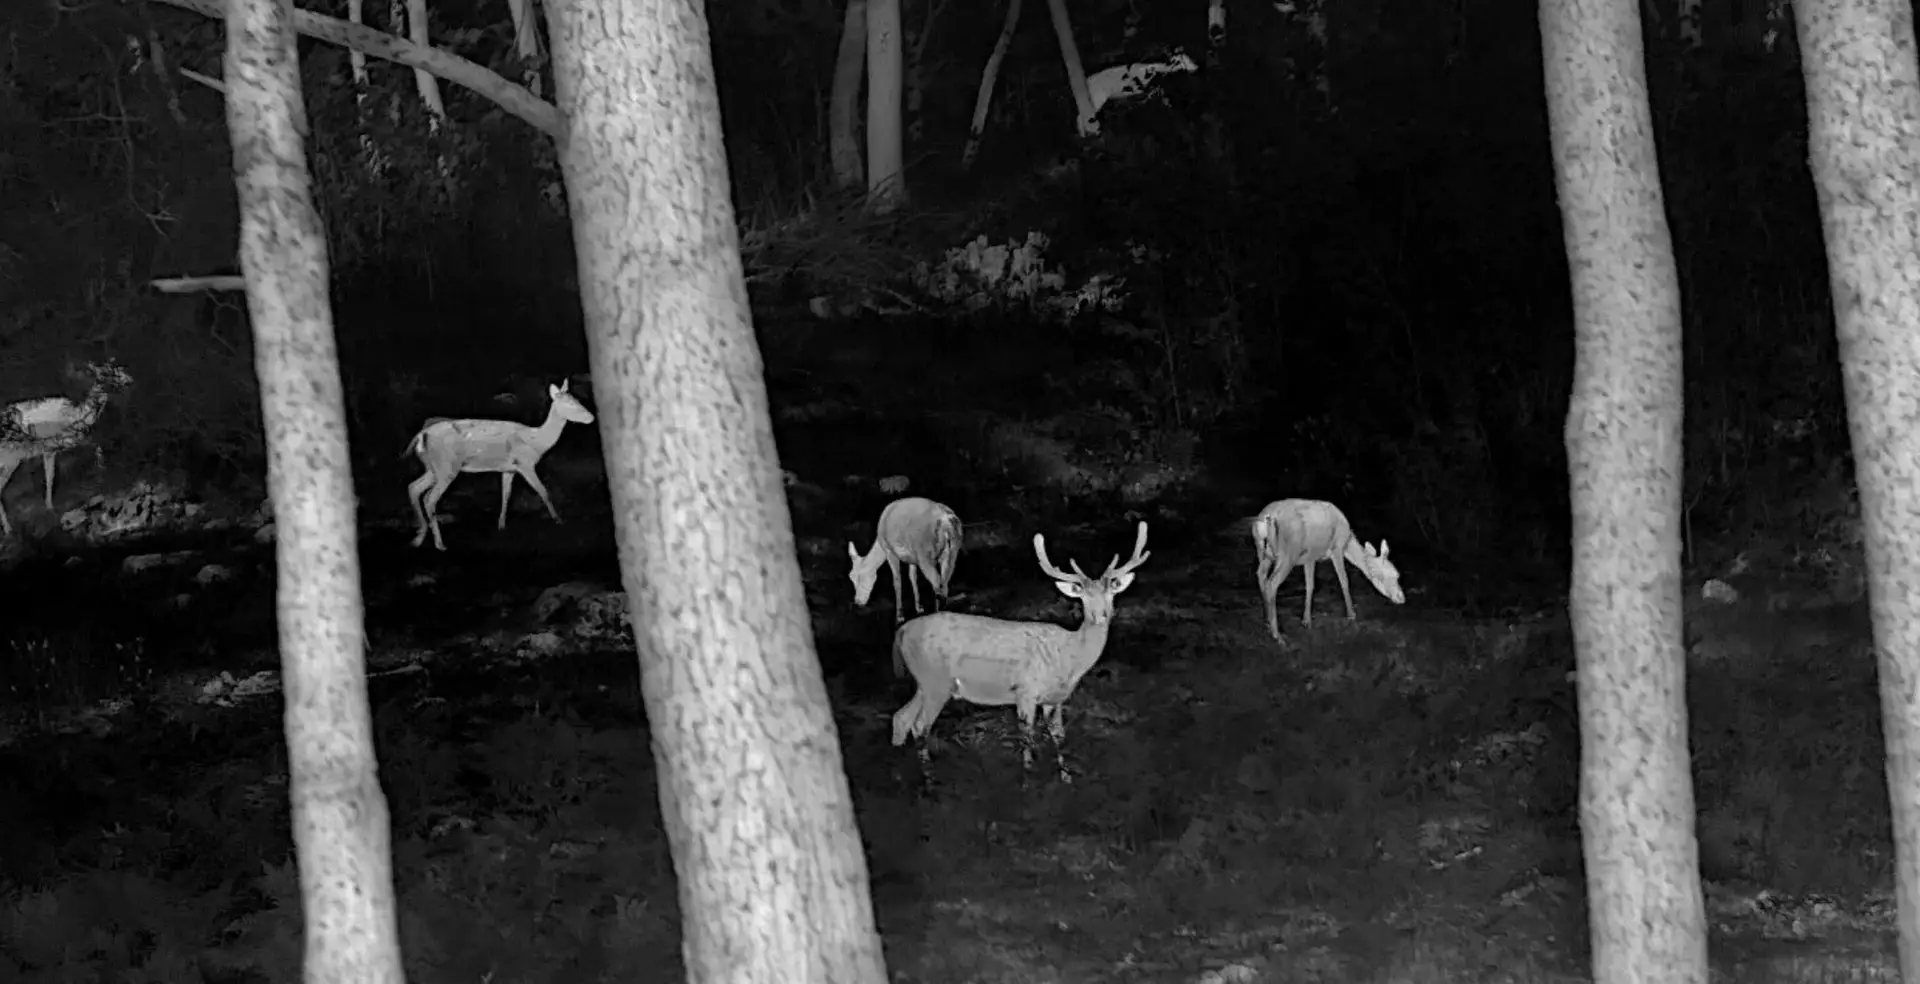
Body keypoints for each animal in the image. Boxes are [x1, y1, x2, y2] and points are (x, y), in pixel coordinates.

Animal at [0, 360, 134, 534]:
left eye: (117, 368)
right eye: (104, 373)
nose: (128, 380)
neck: (79, 416)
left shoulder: (50, 449)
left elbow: (50, 476)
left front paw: (49, 507)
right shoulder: (59, 442)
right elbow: (94, 447)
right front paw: (101, 470)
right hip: (11, 458)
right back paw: (8, 529)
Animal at [404, 379, 595, 551]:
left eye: (577, 400)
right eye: (570, 403)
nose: (591, 417)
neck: (537, 442)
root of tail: (421, 435)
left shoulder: (509, 468)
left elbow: (506, 495)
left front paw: (501, 525)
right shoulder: (525, 463)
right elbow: (543, 491)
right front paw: (559, 520)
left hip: (433, 467)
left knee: (414, 487)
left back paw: (418, 538)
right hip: (446, 466)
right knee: (429, 498)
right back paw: (439, 543)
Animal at [847, 496, 964, 629]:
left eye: (861, 576)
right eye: (850, 576)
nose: (858, 602)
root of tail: (946, 520)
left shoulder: (890, 551)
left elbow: (897, 581)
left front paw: (899, 617)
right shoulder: (912, 558)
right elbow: (913, 577)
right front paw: (919, 608)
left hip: (925, 553)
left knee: (936, 582)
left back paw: (936, 614)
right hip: (952, 551)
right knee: (944, 582)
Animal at [891, 521, 1150, 784]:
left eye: (1111, 594)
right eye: (1083, 597)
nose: (1102, 616)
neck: (1069, 659)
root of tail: (902, 631)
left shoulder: (1055, 699)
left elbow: (1059, 736)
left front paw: (1066, 778)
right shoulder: (1026, 690)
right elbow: (1028, 737)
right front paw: (1028, 780)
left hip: (925, 683)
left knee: (902, 718)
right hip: (935, 681)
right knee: (920, 726)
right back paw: (930, 781)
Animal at [1252, 498, 1405, 646]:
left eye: (1397, 575)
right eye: (1382, 575)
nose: (1401, 598)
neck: (1348, 540)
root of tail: (1264, 518)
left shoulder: (1310, 556)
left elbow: (1310, 586)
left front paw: (1306, 621)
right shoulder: (1337, 548)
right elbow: (1344, 580)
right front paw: (1351, 615)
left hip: (1265, 552)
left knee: (1261, 575)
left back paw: (1267, 623)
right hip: (1288, 553)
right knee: (1271, 583)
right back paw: (1277, 636)